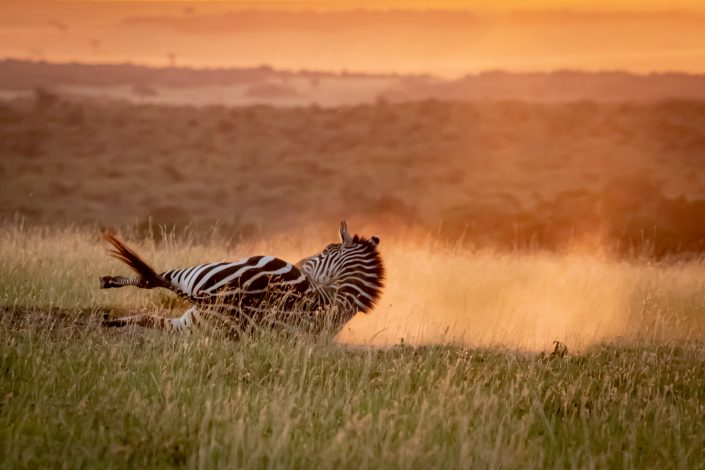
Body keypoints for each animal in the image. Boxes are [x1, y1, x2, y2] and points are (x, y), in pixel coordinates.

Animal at [98, 222, 382, 336]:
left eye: (325, 250)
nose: (300, 263)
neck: (339, 300)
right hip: (193, 323)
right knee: (150, 311)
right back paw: (110, 321)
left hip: (198, 277)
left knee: (153, 279)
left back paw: (107, 285)